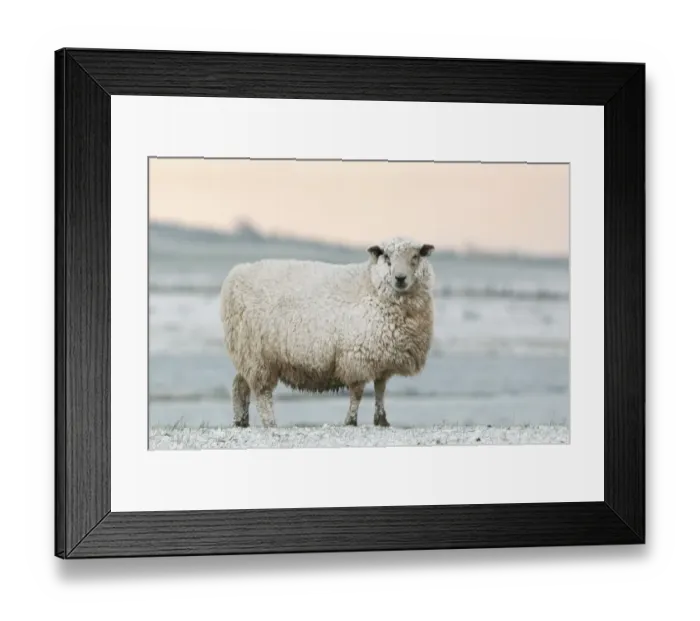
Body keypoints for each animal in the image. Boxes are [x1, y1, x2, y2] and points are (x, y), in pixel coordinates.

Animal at [219, 237, 436, 428]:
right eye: (387, 257)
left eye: (416, 256)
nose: (400, 278)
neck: (373, 287)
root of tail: (235, 275)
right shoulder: (356, 357)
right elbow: (357, 393)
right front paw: (350, 421)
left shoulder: (382, 359)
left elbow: (380, 390)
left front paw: (381, 421)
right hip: (257, 355)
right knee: (262, 393)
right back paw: (270, 424)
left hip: (248, 355)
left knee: (239, 385)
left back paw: (240, 421)